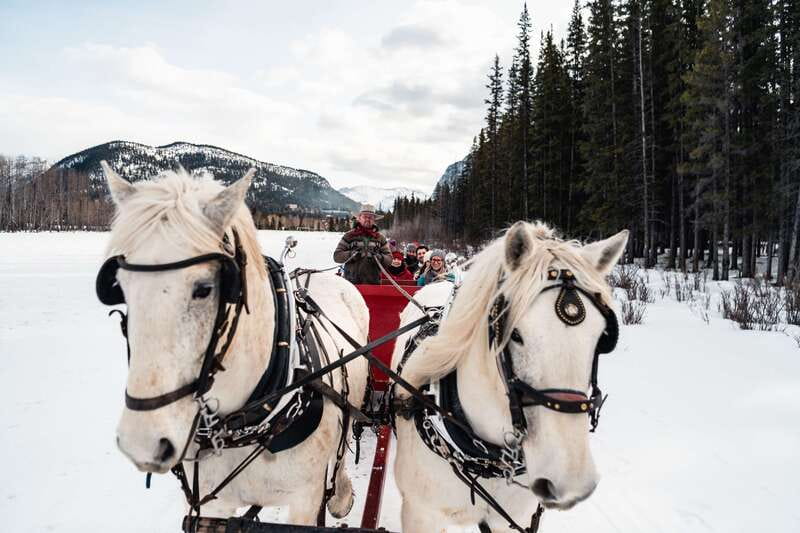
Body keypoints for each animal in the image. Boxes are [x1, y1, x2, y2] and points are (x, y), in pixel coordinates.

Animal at [99, 162, 369, 525]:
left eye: (204, 288)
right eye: (121, 286)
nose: (142, 443)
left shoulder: (305, 500)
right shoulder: (213, 505)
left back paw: (341, 494)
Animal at [391, 221, 628, 532]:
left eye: (602, 338)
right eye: (515, 334)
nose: (571, 480)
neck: (486, 458)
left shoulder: (515, 520)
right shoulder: (420, 514)